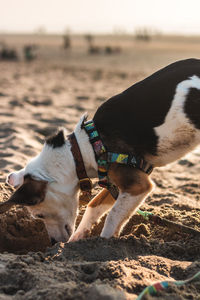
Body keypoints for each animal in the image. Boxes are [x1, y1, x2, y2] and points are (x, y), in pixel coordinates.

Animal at [1, 58, 200, 244]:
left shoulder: (138, 185)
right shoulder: (115, 183)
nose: (54, 243)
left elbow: (112, 217)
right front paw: (78, 240)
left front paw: (104, 242)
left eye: (39, 215)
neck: (83, 150)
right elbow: (93, 206)